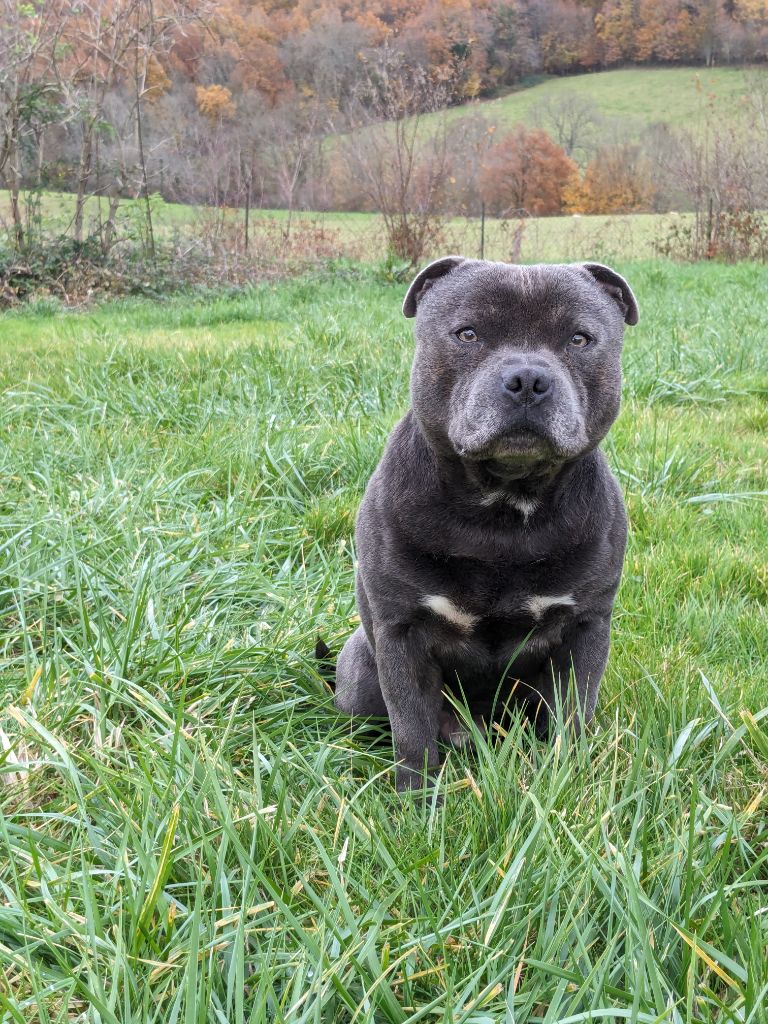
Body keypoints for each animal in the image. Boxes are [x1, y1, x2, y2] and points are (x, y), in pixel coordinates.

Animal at [333, 256, 638, 790]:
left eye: (580, 339)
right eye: (468, 333)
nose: (528, 379)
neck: (501, 509)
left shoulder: (585, 626)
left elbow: (572, 714)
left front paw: (566, 781)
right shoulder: (401, 633)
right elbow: (412, 728)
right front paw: (415, 799)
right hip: (360, 673)